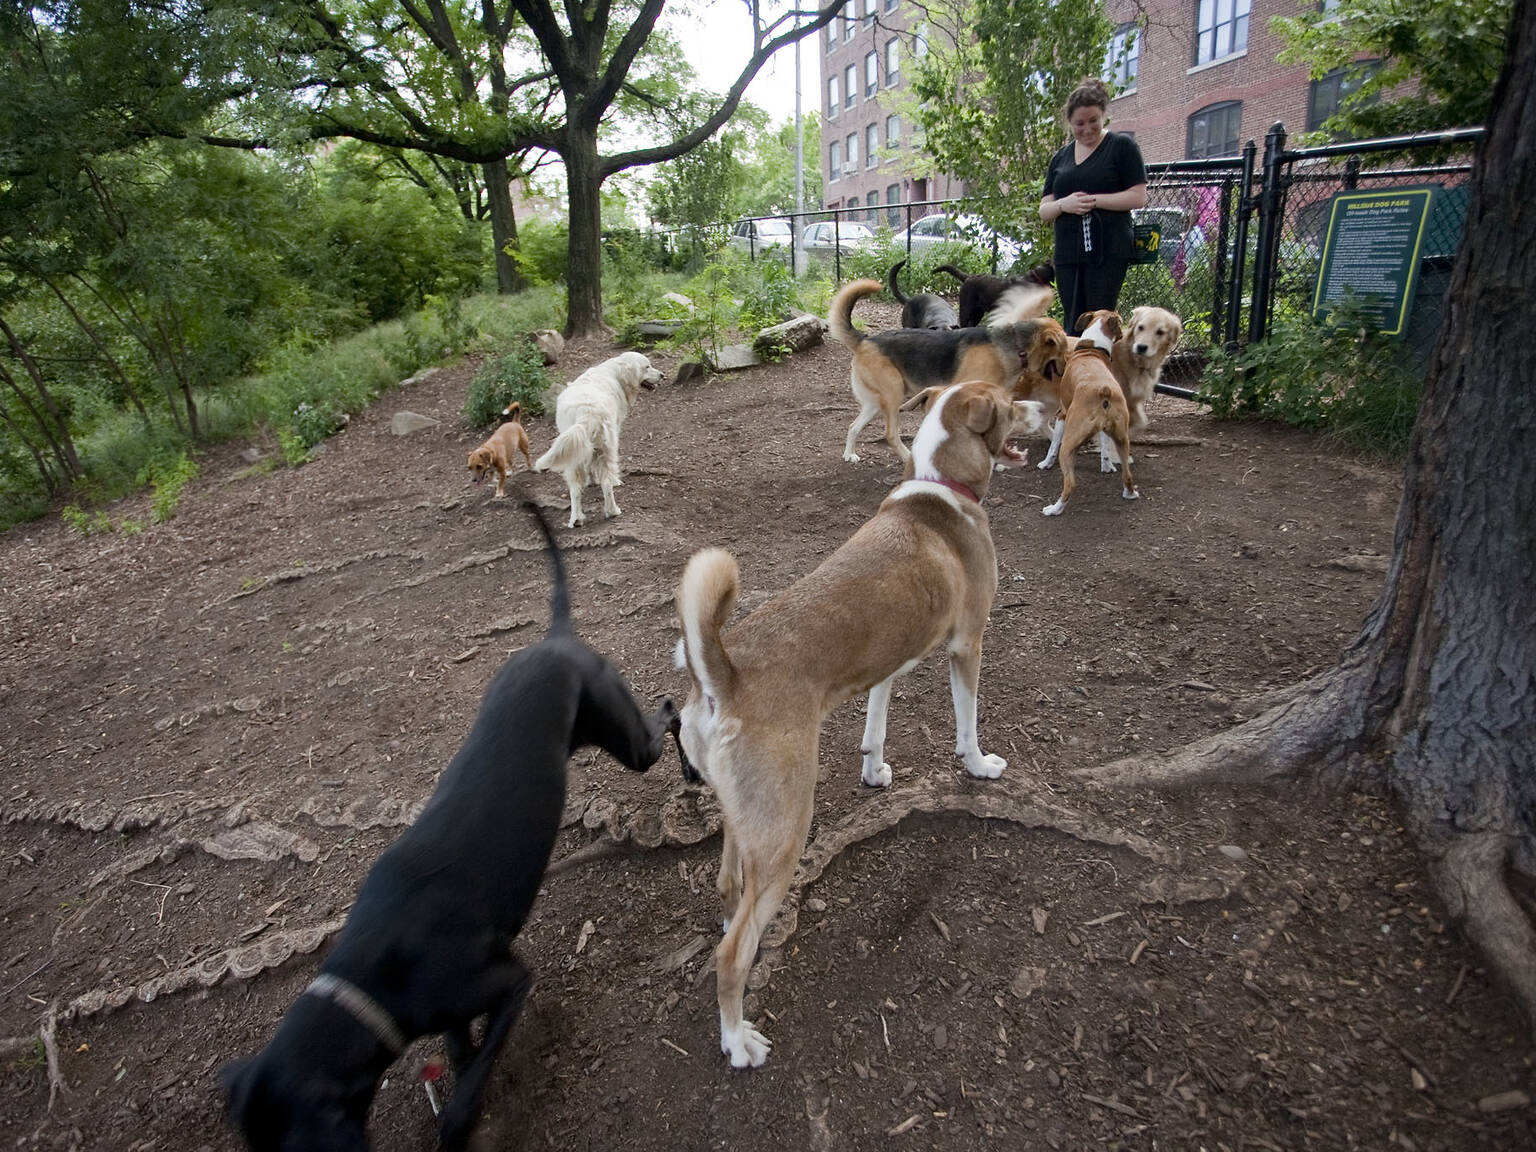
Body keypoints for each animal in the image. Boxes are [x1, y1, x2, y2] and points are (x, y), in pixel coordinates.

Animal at [219, 503, 675, 1152]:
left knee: (667, 714)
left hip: (629, 740)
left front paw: (461, 1122)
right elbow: (463, 1049)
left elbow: (474, 1074)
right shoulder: (453, 1010)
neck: (371, 981)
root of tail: (556, 638)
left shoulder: (509, 982)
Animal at [534, 351, 660, 528]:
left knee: (575, 489)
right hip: (607, 447)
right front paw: (614, 481)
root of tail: (586, 411)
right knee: (606, 482)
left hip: (573, 454)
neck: (615, 373)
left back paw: (576, 519)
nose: (663, 375)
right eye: (647, 366)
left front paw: (591, 480)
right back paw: (613, 511)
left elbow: (589, 468)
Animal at [669, 380, 1044, 1075]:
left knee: (730, 886)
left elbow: (875, 721)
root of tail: (723, 675)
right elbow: (968, 723)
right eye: (1009, 402)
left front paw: (873, 770)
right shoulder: (967, 646)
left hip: (749, 823)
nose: (1045, 405)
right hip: (788, 830)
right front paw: (978, 766)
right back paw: (738, 1038)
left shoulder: (886, 662)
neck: (937, 483)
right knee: (731, 956)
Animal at [829, 278, 1069, 463]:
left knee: (853, 426)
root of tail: (865, 339)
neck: (1015, 345)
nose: (1067, 370)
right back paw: (907, 457)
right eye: (1064, 350)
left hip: (875, 404)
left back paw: (849, 454)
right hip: (893, 396)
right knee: (890, 434)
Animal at [1032, 311, 1142, 519]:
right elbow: (1105, 449)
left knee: (1070, 484)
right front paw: (1106, 466)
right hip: (1122, 439)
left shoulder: (1062, 414)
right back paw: (1130, 494)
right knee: (1128, 473)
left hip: (1069, 444)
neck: (1092, 349)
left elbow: (1053, 445)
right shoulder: (1107, 431)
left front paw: (1045, 463)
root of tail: (1104, 391)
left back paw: (1054, 509)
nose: (1125, 333)